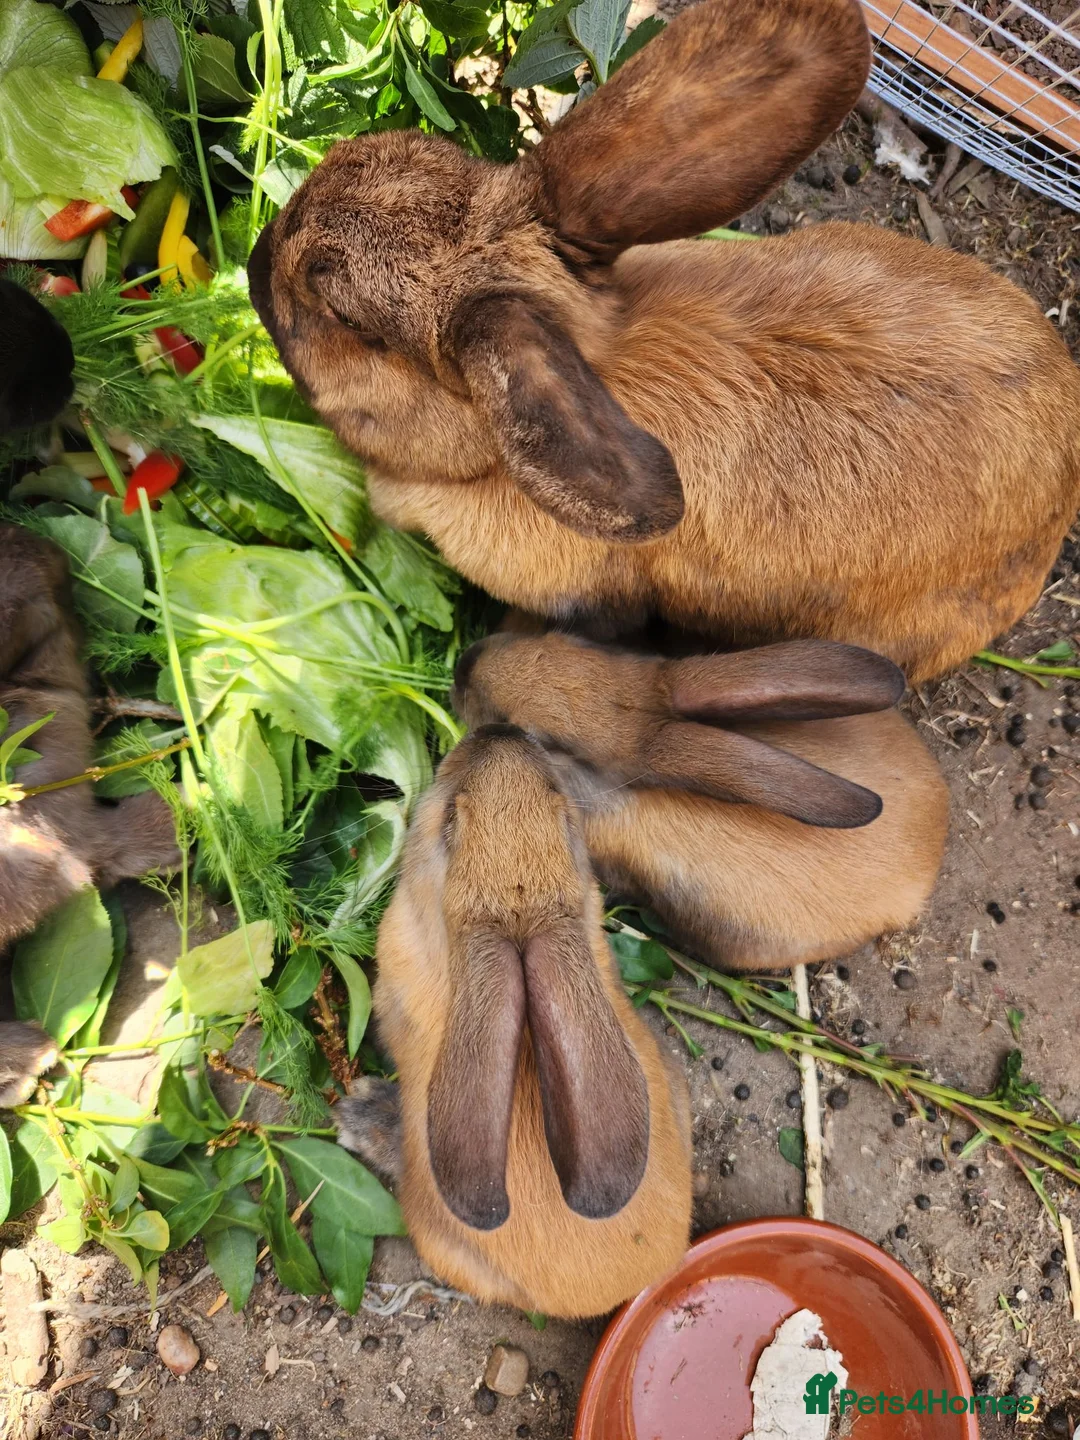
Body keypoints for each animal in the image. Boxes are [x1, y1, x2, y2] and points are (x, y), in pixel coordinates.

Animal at [0, 524, 181, 1105]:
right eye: (47, 606)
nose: (48, 545)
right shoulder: (68, 829)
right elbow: (116, 841)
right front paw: (187, 815)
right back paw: (31, 1059)